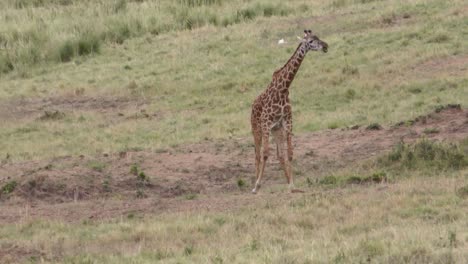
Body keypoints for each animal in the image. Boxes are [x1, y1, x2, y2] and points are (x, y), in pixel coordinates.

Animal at [250, 29, 328, 194]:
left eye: (318, 37)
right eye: (311, 41)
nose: (325, 46)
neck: (283, 89)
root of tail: (252, 105)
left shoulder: (287, 121)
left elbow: (290, 153)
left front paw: (292, 184)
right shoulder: (266, 123)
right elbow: (265, 154)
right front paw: (258, 185)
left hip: (276, 130)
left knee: (279, 154)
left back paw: (286, 181)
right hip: (257, 129)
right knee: (258, 154)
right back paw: (254, 185)